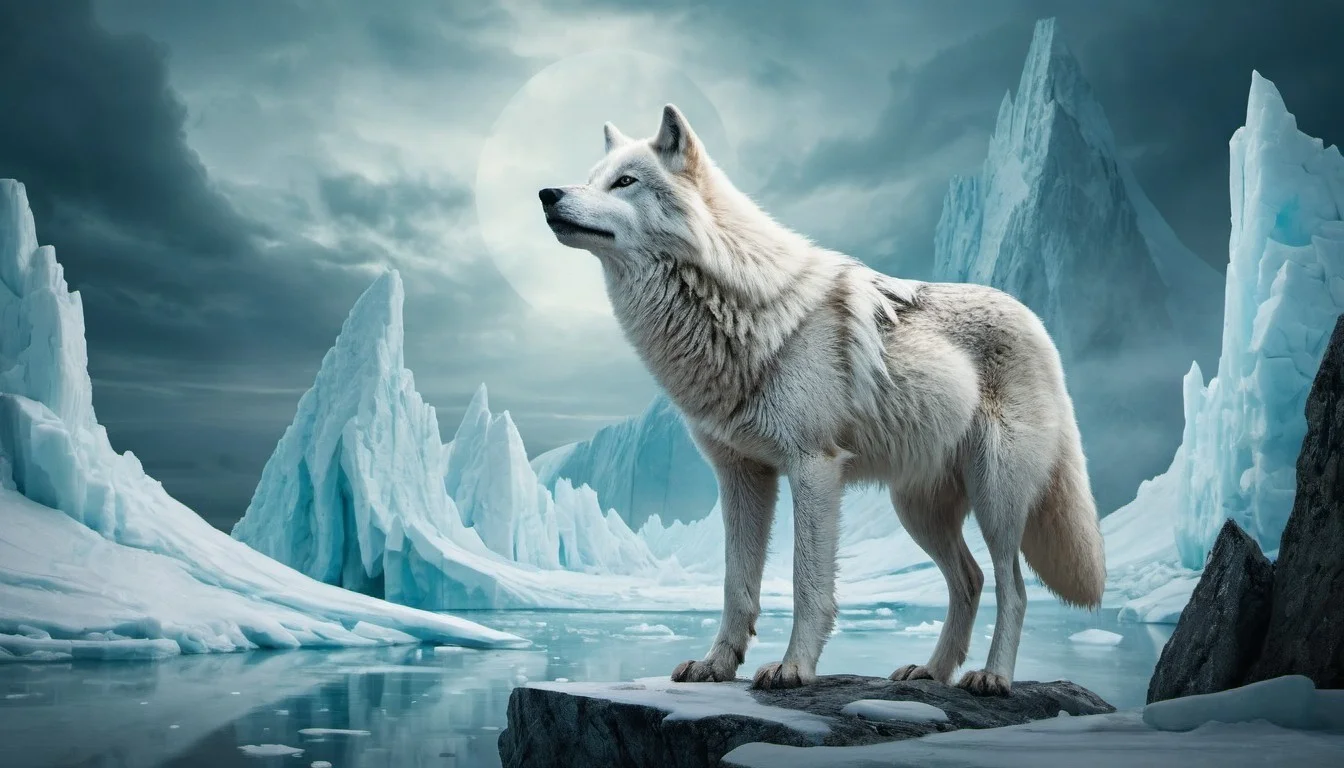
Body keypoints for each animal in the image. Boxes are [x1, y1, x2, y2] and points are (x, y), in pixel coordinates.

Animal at [538, 104, 1106, 696]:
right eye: (592, 177)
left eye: (625, 182)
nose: (547, 194)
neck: (735, 307)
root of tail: (1038, 324)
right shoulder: (740, 475)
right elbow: (736, 587)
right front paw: (716, 666)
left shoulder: (814, 468)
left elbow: (806, 582)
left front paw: (793, 668)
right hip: (917, 511)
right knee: (969, 580)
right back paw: (930, 672)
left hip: (995, 498)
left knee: (1012, 586)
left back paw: (991, 676)